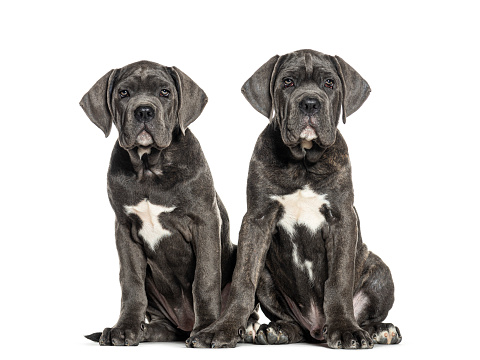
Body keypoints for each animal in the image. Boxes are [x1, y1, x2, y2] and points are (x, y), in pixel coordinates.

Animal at [81, 61, 237, 346]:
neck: (149, 167)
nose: (144, 110)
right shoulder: (124, 228)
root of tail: (184, 324)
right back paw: (146, 331)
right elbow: (131, 282)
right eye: (123, 93)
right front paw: (125, 328)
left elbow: (206, 278)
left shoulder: (205, 221)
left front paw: (207, 328)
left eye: (165, 92)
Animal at [188, 50, 402, 348]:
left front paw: (345, 329)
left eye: (329, 83)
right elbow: (243, 278)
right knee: (290, 321)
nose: (310, 103)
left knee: (366, 312)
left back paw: (379, 329)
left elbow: (339, 280)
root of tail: (317, 328)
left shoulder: (342, 219)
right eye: (287, 82)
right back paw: (277, 330)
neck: (302, 162)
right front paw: (223, 329)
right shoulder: (257, 219)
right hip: (268, 276)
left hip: (380, 271)